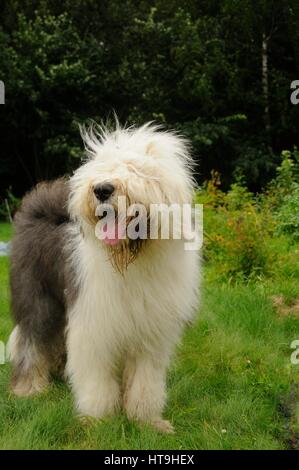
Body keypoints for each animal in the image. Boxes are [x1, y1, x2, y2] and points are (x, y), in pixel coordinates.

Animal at [8, 122, 202, 434]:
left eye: (135, 169)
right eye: (103, 166)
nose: (101, 189)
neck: (131, 262)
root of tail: (45, 202)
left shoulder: (150, 333)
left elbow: (145, 381)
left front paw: (147, 421)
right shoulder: (94, 324)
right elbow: (96, 377)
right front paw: (99, 419)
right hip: (37, 296)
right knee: (32, 340)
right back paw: (29, 387)